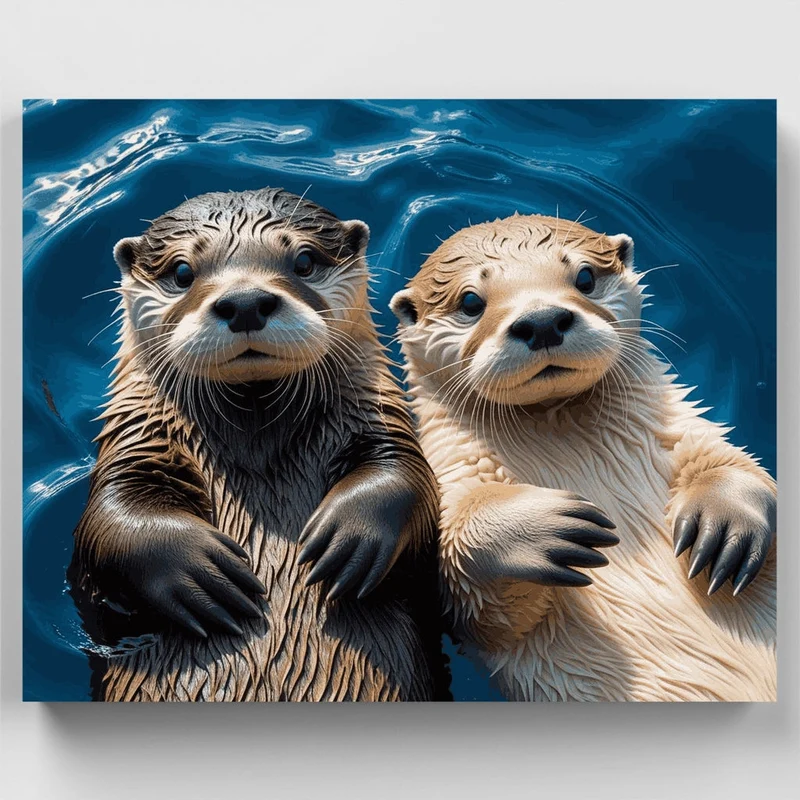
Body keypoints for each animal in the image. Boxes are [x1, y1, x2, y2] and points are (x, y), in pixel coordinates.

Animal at [69, 187, 450, 702]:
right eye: (182, 272)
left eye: (304, 261)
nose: (246, 301)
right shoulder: (137, 442)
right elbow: (110, 517)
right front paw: (197, 569)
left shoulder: (378, 424)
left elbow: (407, 478)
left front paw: (350, 537)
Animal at [391, 213, 776, 702]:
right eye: (471, 301)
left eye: (586, 277)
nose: (541, 320)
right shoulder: (450, 490)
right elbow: (471, 590)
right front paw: (538, 527)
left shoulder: (682, 433)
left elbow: (733, 465)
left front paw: (726, 523)